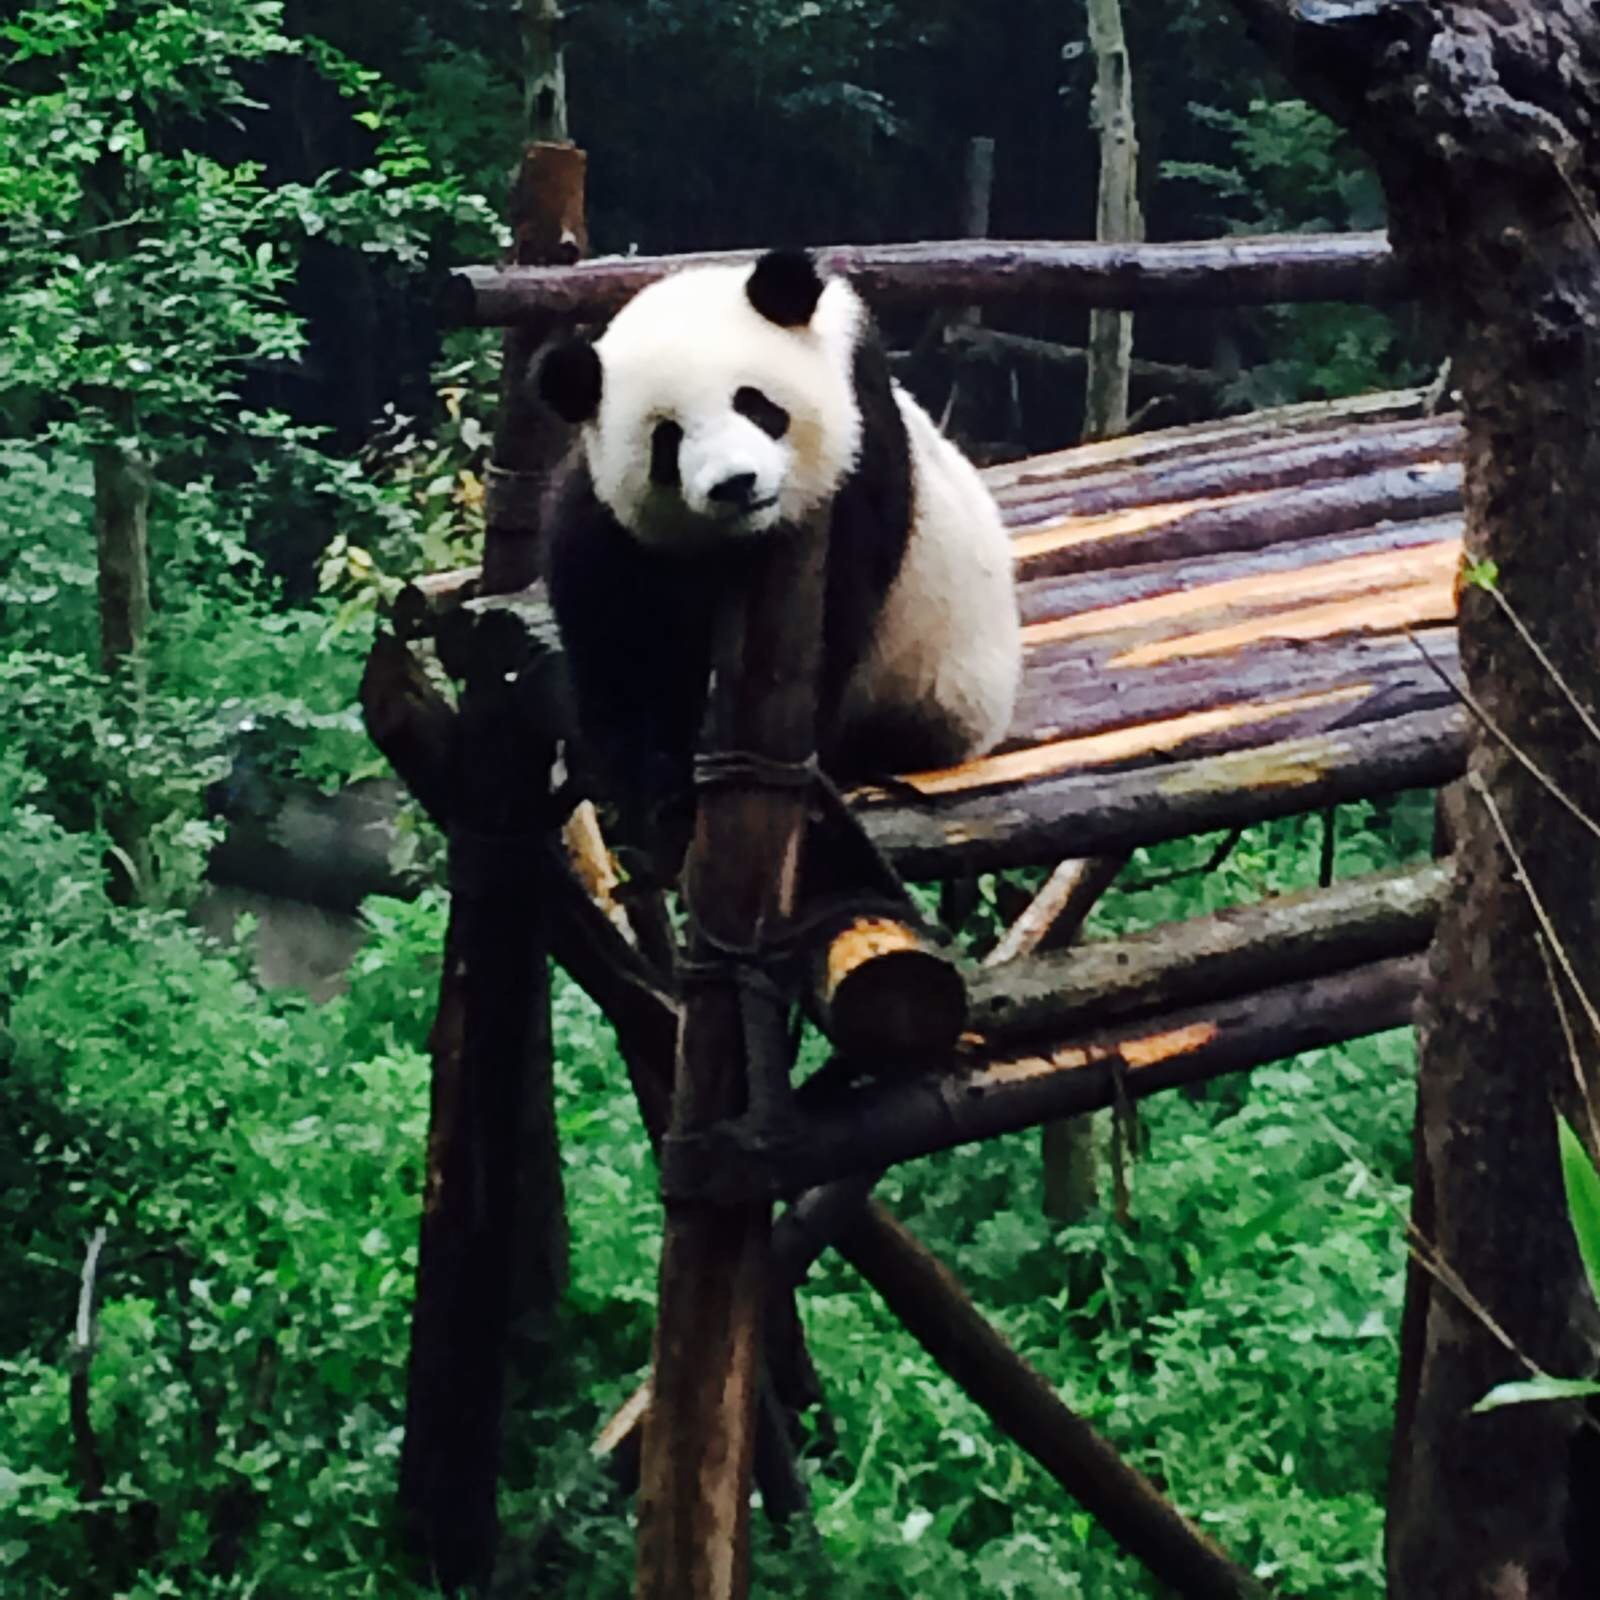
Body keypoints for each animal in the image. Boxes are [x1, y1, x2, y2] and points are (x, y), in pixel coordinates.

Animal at [534, 249, 1011, 876]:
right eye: (667, 440)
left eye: (755, 404)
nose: (736, 483)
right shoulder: (609, 526)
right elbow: (612, 627)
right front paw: (650, 789)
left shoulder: (858, 434)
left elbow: (838, 607)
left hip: (938, 684)